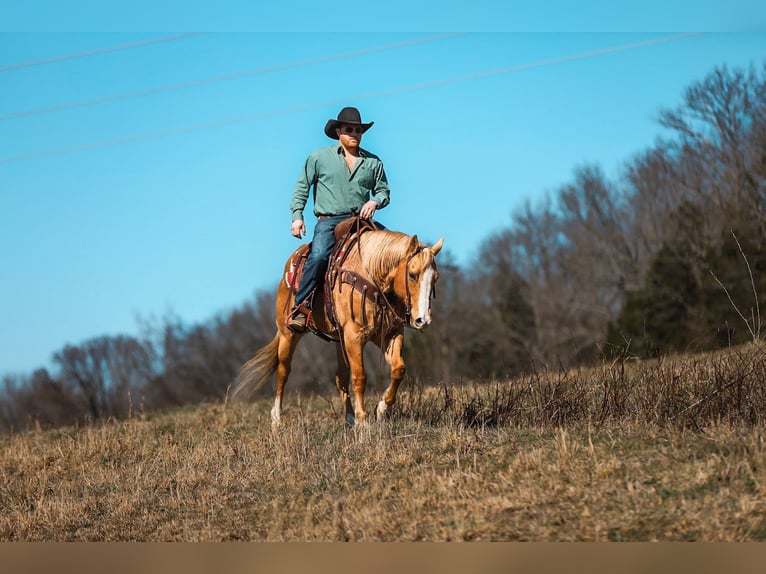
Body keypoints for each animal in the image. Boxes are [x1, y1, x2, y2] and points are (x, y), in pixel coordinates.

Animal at [233, 219, 444, 427]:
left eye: (436, 277)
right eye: (412, 275)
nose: (423, 319)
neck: (371, 275)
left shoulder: (389, 333)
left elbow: (398, 368)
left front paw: (381, 409)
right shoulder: (354, 336)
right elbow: (360, 377)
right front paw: (363, 421)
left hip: (339, 340)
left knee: (340, 376)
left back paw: (349, 418)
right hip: (288, 333)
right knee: (283, 371)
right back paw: (276, 419)